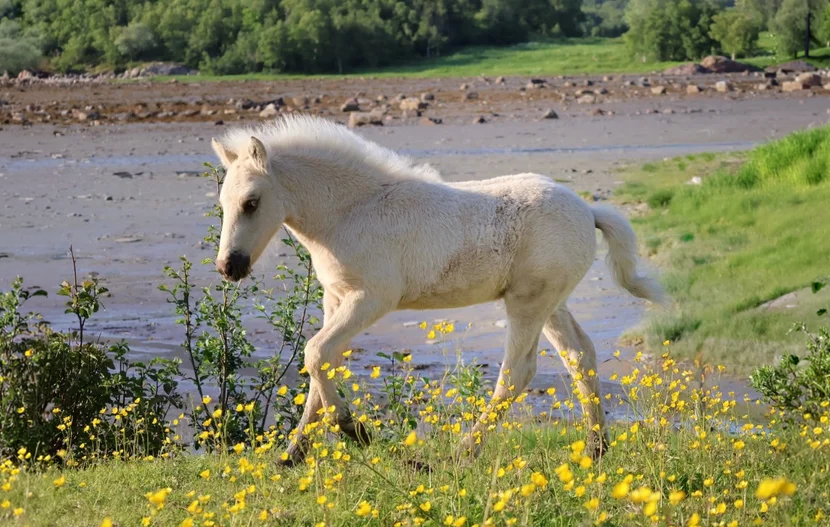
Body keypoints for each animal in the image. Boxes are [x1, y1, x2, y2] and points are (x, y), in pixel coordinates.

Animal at [210, 115, 664, 465]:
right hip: (552, 303)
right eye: (223, 203)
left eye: (252, 202)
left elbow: (316, 353)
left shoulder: (372, 299)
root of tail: (588, 210)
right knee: (579, 356)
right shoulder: (335, 299)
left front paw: (356, 432)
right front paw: (292, 455)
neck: (351, 212)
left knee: (518, 372)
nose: (229, 267)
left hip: (528, 303)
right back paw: (596, 448)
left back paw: (462, 452)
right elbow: (323, 365)